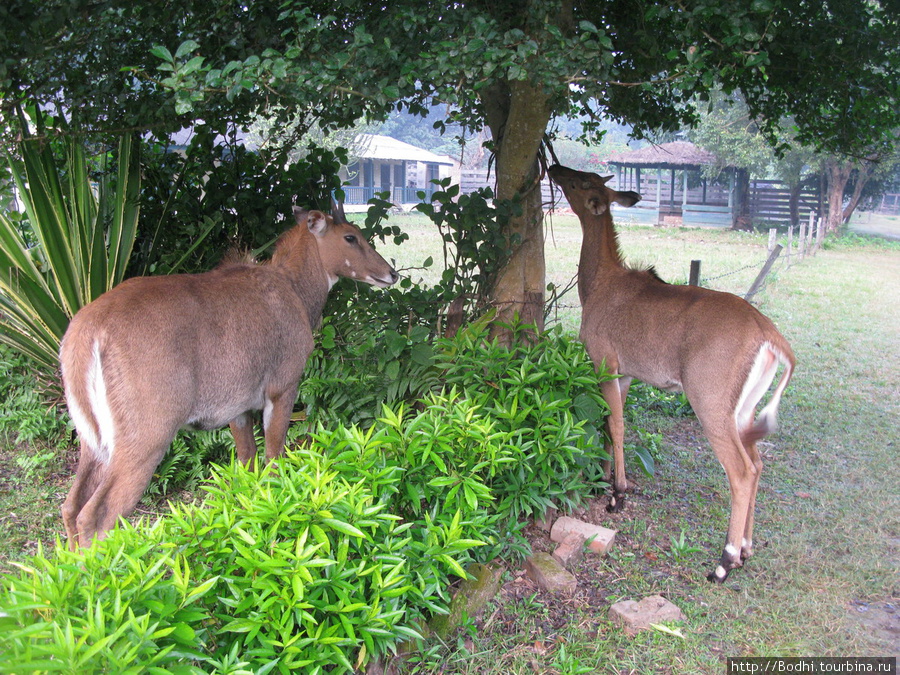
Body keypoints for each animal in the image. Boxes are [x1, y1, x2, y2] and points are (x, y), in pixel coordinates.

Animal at [59, 206, 398, 548]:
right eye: (350, 237)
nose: (391, 273)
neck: (294, 289)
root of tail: (86, 334)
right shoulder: (282, 388)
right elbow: (273, 458)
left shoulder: (238, 408)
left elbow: (247, 464)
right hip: (146, 437)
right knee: (97, 515)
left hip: (93, 440)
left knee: (71, 506)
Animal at [548, 164, 796, 580]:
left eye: (580, 182)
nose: (553, 167)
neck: (600, 282)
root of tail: (770, 335)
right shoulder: (626, 374)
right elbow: (608, 423)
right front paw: (603, 480)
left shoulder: (604, 362)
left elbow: (616, 425)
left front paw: (618, 495)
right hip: (744, 410)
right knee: (758, 462)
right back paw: (746, 549)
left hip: (710, 402)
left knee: (742, 471)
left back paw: (725, 561)